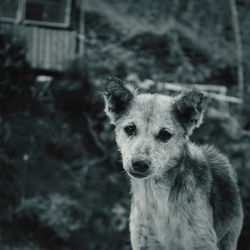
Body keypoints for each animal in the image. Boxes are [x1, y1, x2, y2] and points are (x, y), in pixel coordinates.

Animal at [102, 77, 243, 250]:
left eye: (164, 134)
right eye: (130, 129)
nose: (139, 164)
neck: (156, 196)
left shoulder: (201, 241)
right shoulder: (144, 243)